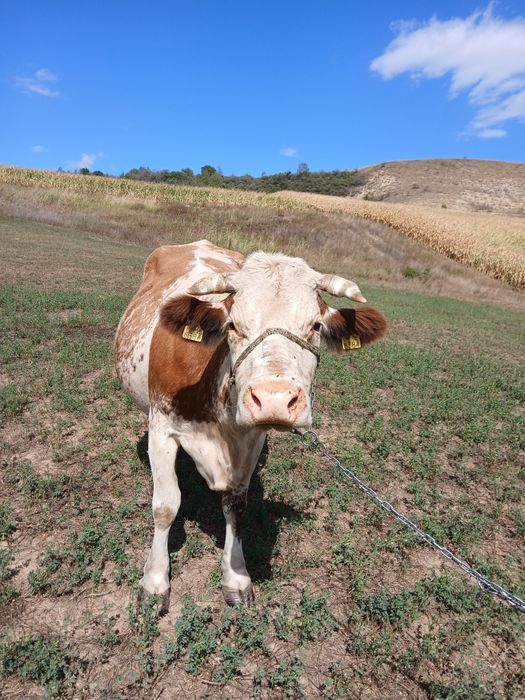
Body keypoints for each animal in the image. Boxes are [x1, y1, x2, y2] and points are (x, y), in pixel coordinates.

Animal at [114, 239, 386, 613]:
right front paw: (155, 582)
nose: (274, 399)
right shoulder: (162, 429)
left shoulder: (252, 439)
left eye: (316, 326)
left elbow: (235, 506)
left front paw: (236, 575)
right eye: (232, 325)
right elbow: (166, 506)